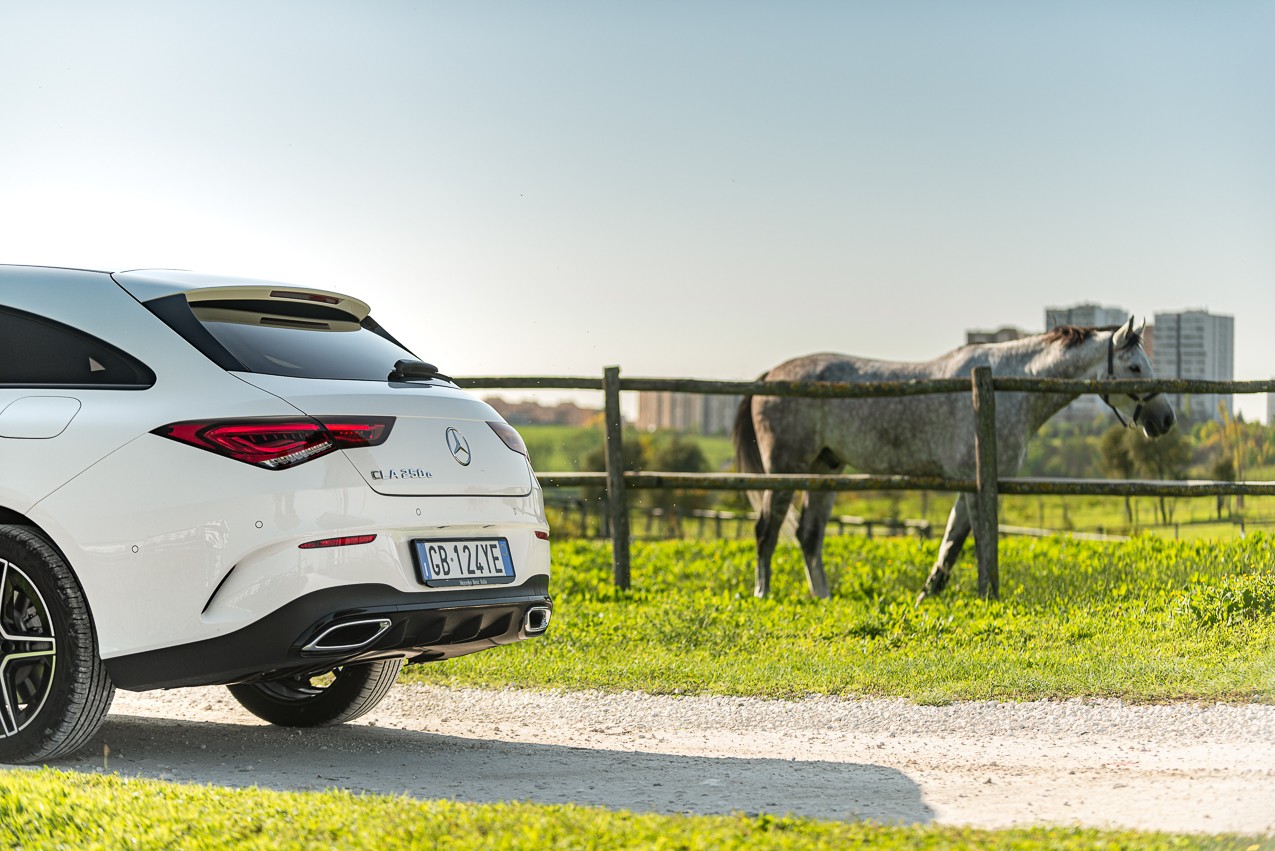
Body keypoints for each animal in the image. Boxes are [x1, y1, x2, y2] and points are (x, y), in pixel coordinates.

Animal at [739, 317, 1173, 599]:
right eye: (1135, 367)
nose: (1165, 419)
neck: (1006, 386)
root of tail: (769, 375)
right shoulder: (976, 483)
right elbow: (977, 540)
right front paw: (984, 593)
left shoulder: (969, 485)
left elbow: (951, 543)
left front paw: (927, 596)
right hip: (785, 471)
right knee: (766, 530)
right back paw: (763, 594)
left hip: (824, 470)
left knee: (809, 535)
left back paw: (823, 597)